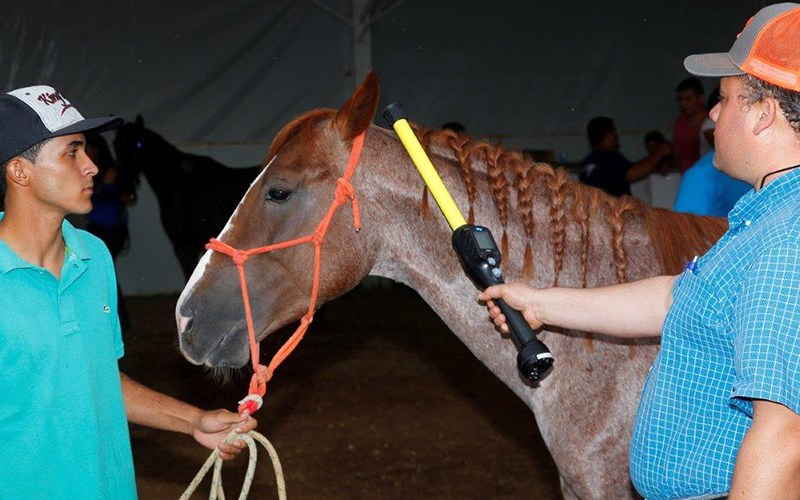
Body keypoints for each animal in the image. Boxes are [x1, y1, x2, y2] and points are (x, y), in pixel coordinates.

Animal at [112, 116, 260, 282]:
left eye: (139, 144)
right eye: (116, 144)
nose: (124, 187)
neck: (182, 186)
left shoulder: (192, 244)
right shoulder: (182, 244)